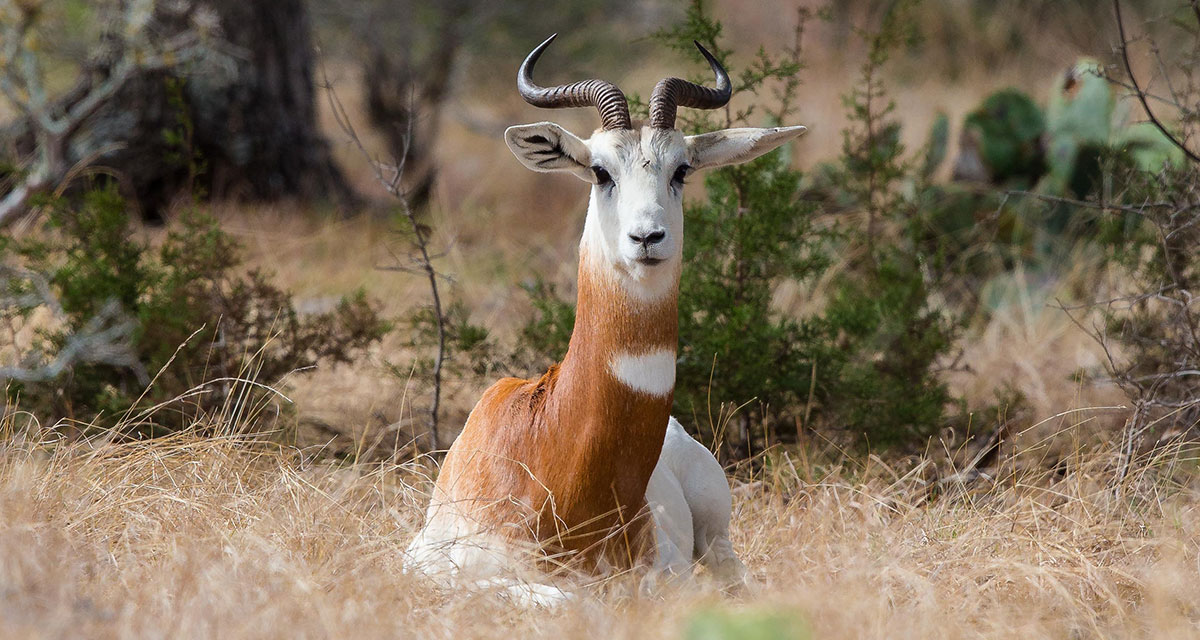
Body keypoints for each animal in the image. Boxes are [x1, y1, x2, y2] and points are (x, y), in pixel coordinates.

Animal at [404, 35, 806, 603]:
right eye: (600, 170)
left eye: (681, 169)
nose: (648, 237)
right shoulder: (428, 564)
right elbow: (554, 597)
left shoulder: (666, 575)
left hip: (715, 527)